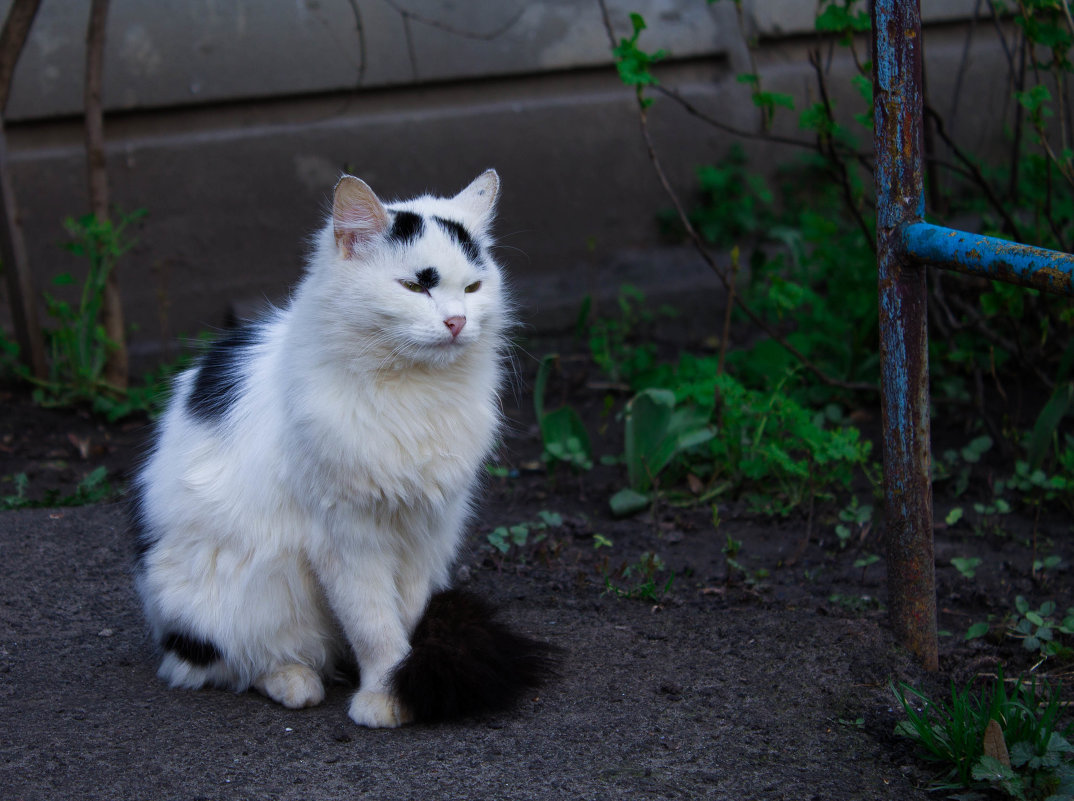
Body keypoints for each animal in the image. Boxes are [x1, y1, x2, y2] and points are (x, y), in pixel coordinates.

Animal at [129, 171, 558, 725]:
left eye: (472, 288)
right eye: (416, 286)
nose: (458, 321)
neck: (413, 393)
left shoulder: (424, 531)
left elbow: (404, 616)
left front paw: (401, 682)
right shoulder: (347, 537)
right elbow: (374, 624)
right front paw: (386, 696)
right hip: (241, 598)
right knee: (231, 665)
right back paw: (295, 682)